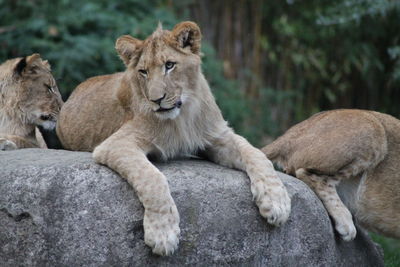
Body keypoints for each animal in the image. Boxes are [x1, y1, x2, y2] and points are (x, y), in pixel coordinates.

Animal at [56, 22, 290, 256]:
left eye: (169, 65)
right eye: (143, 72)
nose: (156, 100)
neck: (182, 116)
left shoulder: (218, 135)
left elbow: (256, 153)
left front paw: (276, 202)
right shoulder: (115, 144)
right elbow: (152, 178)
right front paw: (163, 234)